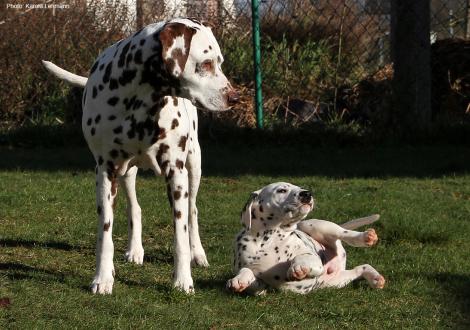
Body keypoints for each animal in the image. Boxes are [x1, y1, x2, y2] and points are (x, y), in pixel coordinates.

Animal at [43, 17, 239, 294]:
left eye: (219, 62)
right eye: (206, 63)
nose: (235, 97)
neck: (138, 99)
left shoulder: (176, 173)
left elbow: (180, 232)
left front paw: (183, 280)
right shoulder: (105, 171)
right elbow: (105, 232)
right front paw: (103, 277)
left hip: (194, 166)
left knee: (192, 210)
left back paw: (197, 253)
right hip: (127, 174)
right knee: (134, 208)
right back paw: (135, 250)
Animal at [228, 183, 386, 294]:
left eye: (300, 187)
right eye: (281, 190)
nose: (307, 193)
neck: (269, 238)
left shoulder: (314, 260)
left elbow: (303, 257)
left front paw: (298, 267)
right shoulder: (261, 287)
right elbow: (247, 272)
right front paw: (239, 280)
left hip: (315, 225)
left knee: (344, 233)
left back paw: (366, 237)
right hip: (335, 281)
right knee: (361, 268)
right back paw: (375, 278)